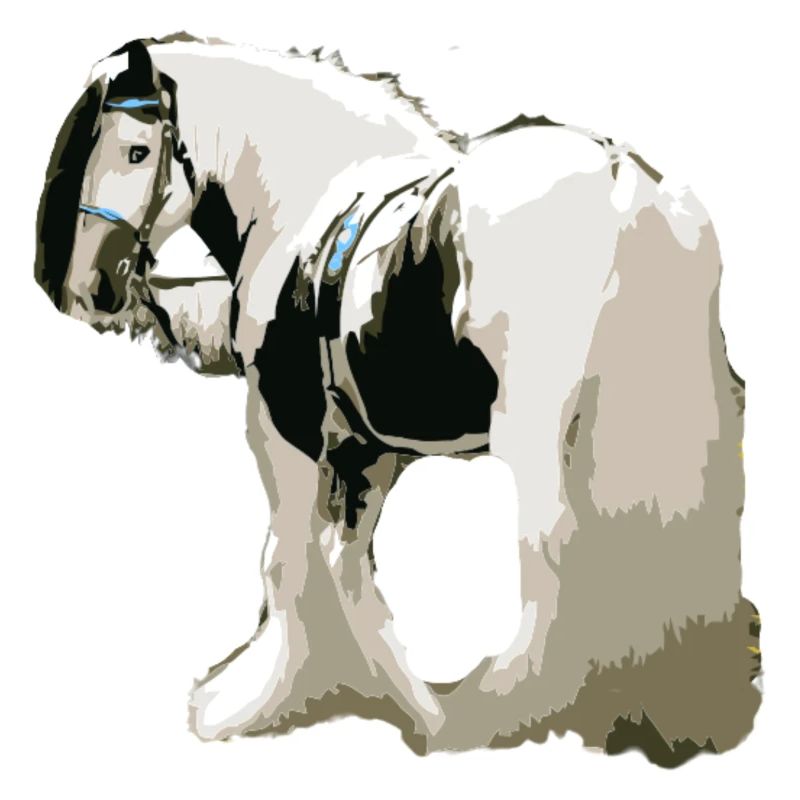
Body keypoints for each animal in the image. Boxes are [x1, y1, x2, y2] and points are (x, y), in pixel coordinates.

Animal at [34, 34, 760, 765]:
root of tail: (622, 182)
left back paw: (504, 710)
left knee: (548, 553)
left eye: (135, 150)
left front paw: (247, 703)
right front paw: (394, 696)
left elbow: (284, 561)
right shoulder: (369, 451)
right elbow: (347, 561)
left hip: (536, 437)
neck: (310, 199)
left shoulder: (283, 427)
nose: (88, 286)